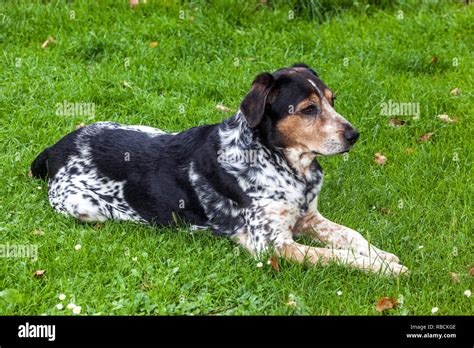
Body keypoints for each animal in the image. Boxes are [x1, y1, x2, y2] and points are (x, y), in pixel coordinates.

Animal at [30, 62, 408, 274]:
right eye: (307, 109)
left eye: (332, 101)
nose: (354, 135)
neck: (282, 163)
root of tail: (55, 148)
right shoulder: (272, 245)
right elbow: (334, 256)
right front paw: (383, 268)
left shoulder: (308, 217)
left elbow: (352, 236)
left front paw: (382, 255)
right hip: (85, 206)